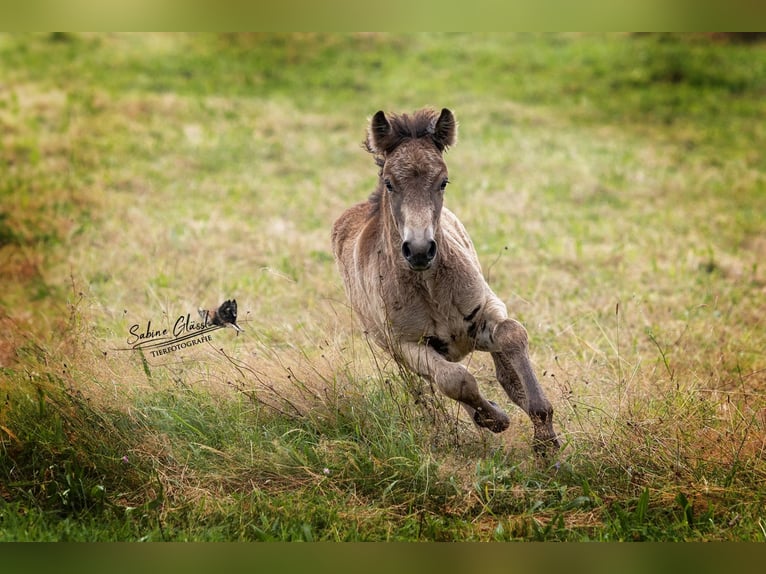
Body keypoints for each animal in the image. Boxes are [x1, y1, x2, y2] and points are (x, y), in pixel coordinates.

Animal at [332, 106, 560, 452]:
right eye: (389, 183)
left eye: (443, 181)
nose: (419, 250)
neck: (430, 287)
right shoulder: (405, 345)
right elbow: (456, 380)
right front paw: (496, 418)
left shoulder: (486, 311)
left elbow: (512, 335)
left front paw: (544, 429)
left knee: (503, 371)